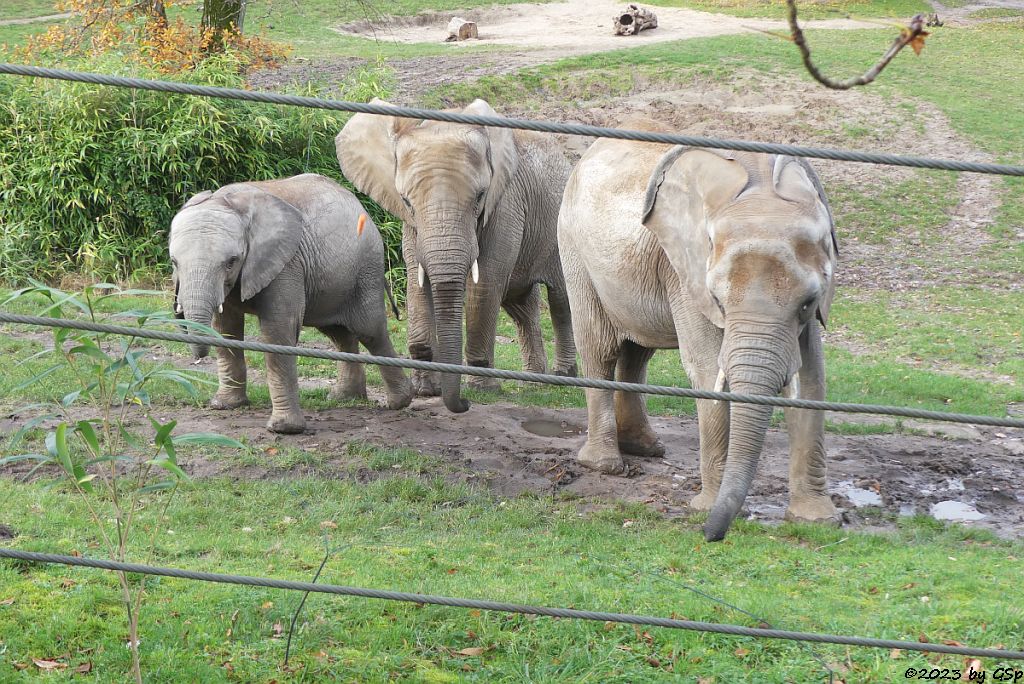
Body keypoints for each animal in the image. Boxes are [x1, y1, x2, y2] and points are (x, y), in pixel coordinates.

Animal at [167, 174, 411, 436]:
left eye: (231, 262)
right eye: (174, 262)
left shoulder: (287, 264)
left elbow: (278, 332)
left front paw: (284, 429)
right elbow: (225, 329)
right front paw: (224, 405)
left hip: (366, 270)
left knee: (370, 332)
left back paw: (399, 402)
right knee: (339, 333)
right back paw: (344, 399)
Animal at [335, 98, 577, 413]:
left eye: (480, 197)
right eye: (407, 201)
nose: (463, 403)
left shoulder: (505, 204)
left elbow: (485, 282)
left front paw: (481, 388)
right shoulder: (412, 226)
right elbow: (417, 278)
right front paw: (426, 389)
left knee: (560, 299)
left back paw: (564, 377)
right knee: (521, 306)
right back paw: (533, 382)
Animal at [561, 120, 839, 540]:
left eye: (807, 303)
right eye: (719, 300)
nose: (711, 535)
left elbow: (812, 378)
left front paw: (817, 519)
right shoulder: (684, 269)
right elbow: (708, 368)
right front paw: (706, 509)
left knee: (637, 351)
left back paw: (645, 448)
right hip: (574, 249)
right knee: (600, 348)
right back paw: (605, 464)